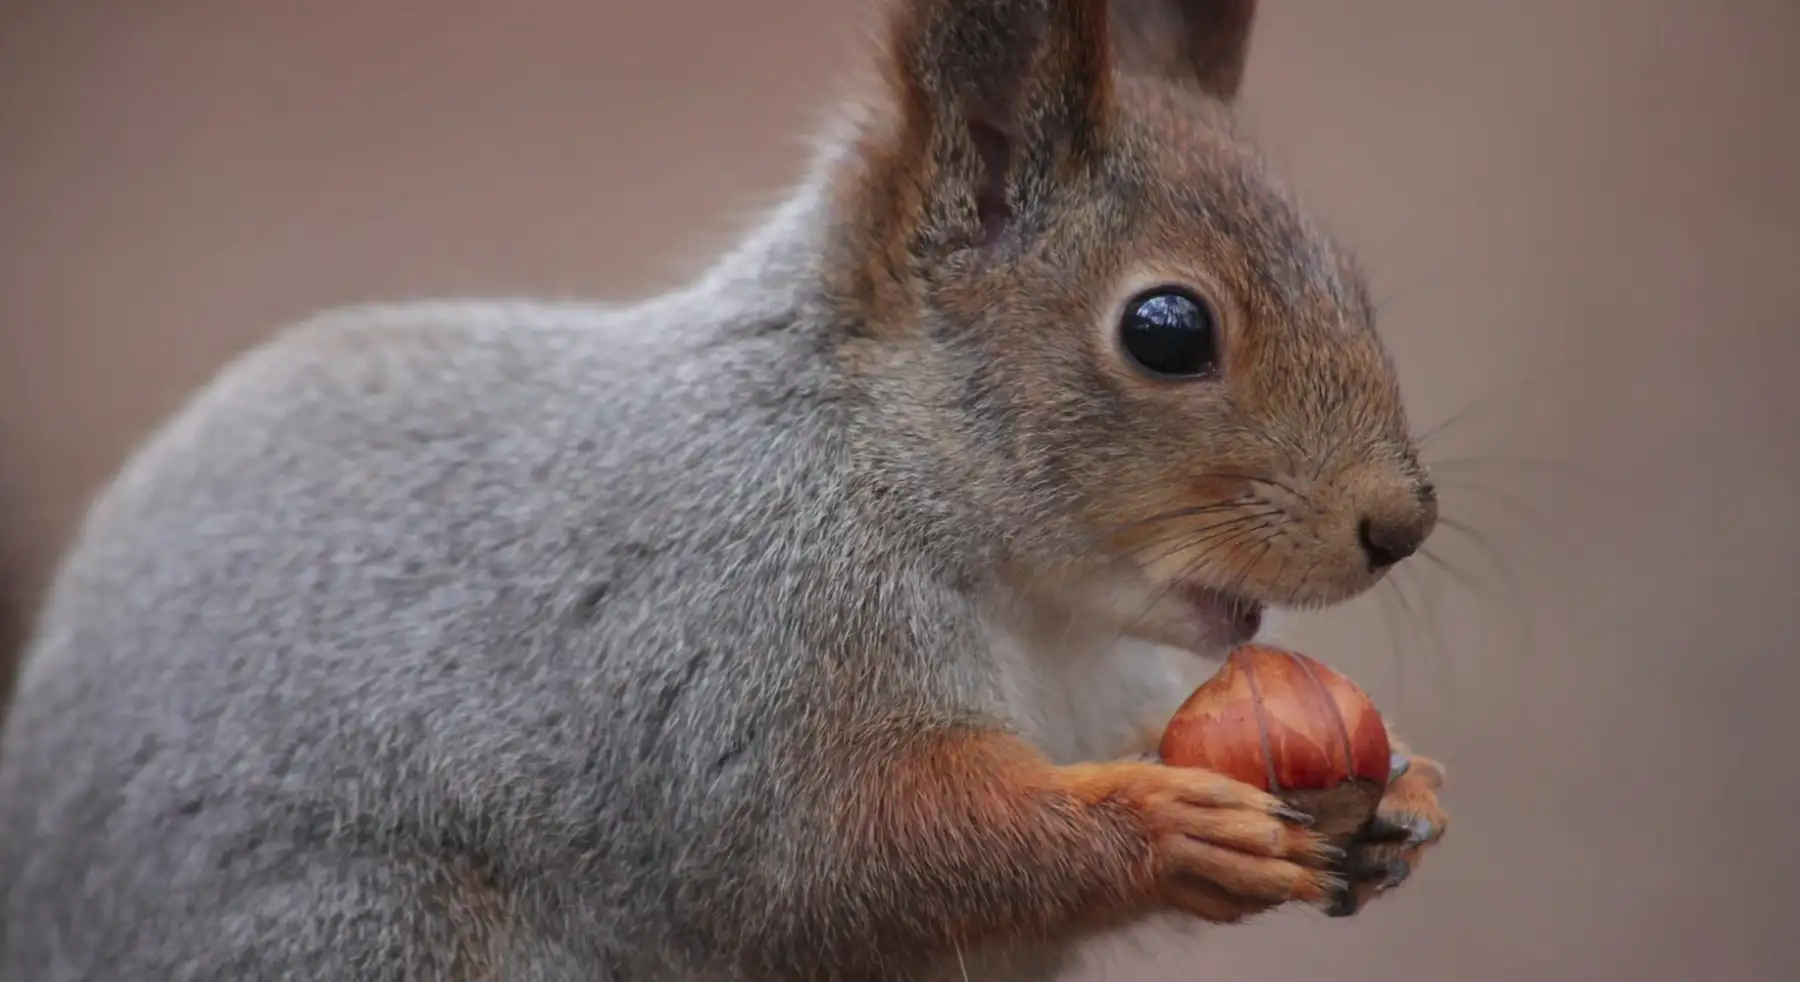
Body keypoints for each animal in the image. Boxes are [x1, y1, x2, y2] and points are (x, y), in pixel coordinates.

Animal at [0, 1, 1450, 980]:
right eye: (1166, 329)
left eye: (1352, 282)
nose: (1399, 524)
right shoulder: (743, 643)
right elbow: (847, 850)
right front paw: (1172, 827)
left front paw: (1405, 789)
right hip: (357, 932)